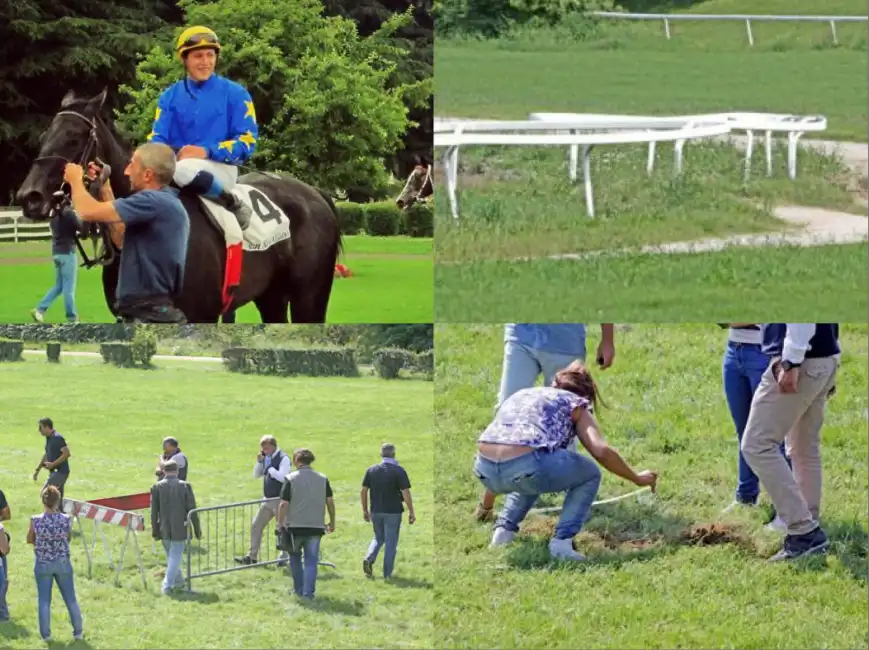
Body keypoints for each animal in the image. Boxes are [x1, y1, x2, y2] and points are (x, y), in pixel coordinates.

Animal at [16, 90, 342, 322]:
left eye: (73, 138)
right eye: (44, 136)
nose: (29, 196)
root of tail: (315, 193)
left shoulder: (202, 315)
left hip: (309, 297)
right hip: (271, 297)